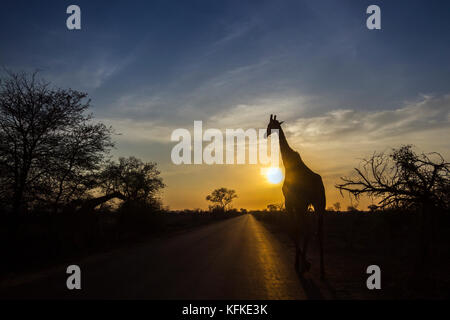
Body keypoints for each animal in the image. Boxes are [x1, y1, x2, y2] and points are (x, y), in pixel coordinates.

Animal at [266, 114, 326, 278]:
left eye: (271, 124)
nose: (266, 133)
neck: (288, 164)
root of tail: (319, 185)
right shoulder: (297, 203)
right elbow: (296, 229)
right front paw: (302, 263)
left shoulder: (290, 201)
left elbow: (293, 229)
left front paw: (301, 264)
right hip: (317, 204)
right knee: (316, 230)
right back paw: (321, 272)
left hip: (311, 204)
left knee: (308, 229)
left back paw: (310, 266)